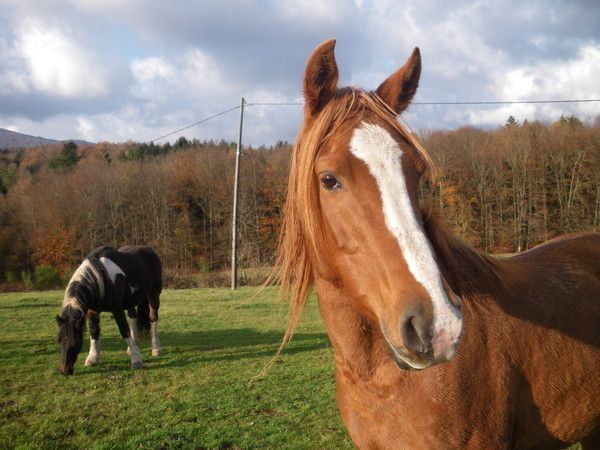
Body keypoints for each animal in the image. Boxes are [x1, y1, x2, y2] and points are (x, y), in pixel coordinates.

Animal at [56, 244, 163, 374]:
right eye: (59, 340)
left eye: (74, 342)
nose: (64, 370)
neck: (101, 276)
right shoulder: (92, 312)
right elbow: (94, 332)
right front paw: (92, 358)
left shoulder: (117, 309)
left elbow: (124, 330)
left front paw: (136, 360)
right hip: (130, 301)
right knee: (133, 317)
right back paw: (133, 347)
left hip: (153, 295)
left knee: (153, 318)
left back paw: (156, 348)